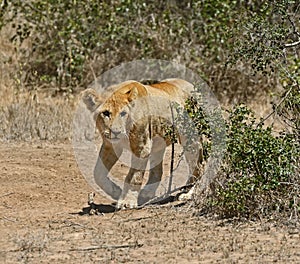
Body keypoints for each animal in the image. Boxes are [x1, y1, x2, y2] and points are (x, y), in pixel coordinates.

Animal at [82, 78, 204, 208]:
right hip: (158, 143)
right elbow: (97, 173)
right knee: (158, 170)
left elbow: (134, 177)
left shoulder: (142, 148)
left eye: (123, 113)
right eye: (106, 113)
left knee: (199, 166)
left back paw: (189, 193)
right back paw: (148, 193)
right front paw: (116, 191)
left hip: (191, 140)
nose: (116, 132)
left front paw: (127, 202)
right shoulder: (111, 146)